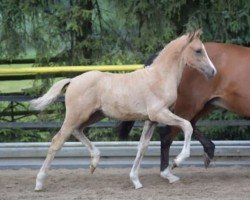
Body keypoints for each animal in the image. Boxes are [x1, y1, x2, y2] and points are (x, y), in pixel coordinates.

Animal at [29, 30, 217, 191]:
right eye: (198, 50)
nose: (213, 72)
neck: (159, 77)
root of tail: (73, 80)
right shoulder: (160, 113)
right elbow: (187, 126)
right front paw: (177, 161)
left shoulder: (151, 120)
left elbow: (142, 146)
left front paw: (136, 180)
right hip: (76, 116)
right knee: (57, 141)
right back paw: (39, 182)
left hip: (94, 116)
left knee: (77, 131)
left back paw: (94, 163)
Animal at [118, 42, 250, 183]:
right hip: (189, 105)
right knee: (168, 134)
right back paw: (168, 170)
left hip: (204, 105)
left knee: (189, 125)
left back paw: (207, 152)